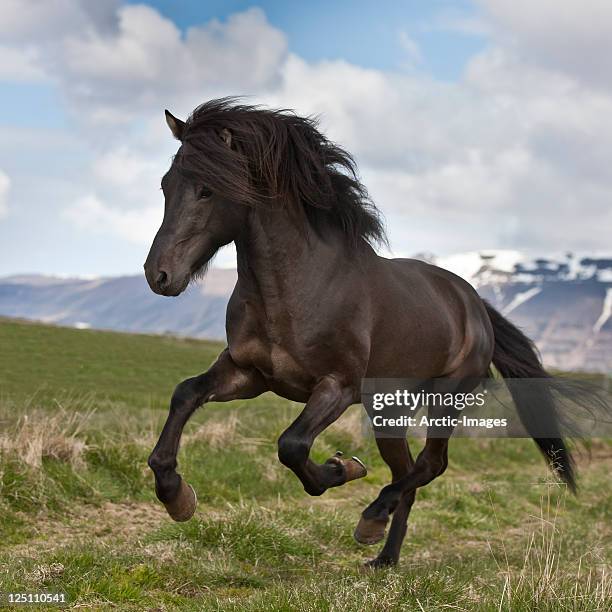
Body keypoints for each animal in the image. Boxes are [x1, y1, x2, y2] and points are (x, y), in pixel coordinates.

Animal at [146, 98, 576, 568]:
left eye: (207, 189)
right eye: (166, 185)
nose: (158, 275)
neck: (296, 287)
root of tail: (474, 303)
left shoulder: (338, 386)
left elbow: (292, 445)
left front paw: (342, 468)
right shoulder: (248, 374)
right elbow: (186, 394)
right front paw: (176, 496)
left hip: (446, 399)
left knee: (429, 466)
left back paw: (371, 520)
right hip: (389, 410)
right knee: (408, 471)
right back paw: (384, 556)